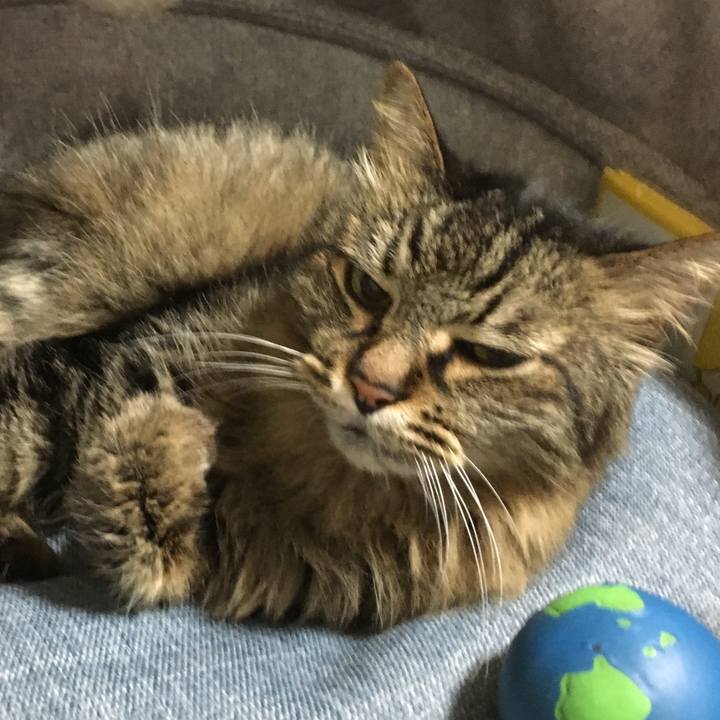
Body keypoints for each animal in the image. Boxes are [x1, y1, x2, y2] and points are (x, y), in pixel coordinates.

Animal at [0, 62, 718, 629]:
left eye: (491, 357)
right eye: (369, 290)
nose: (370, 387)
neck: (324, 478)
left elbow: (153, 557)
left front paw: (156, 463)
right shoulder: (100, 368)